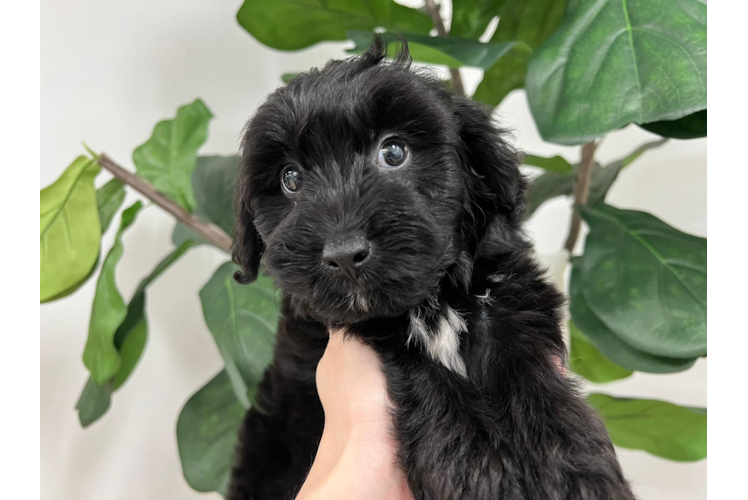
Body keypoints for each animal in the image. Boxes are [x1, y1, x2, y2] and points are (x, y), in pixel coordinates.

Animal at [229, 36, 636, 500]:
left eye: (393, 152)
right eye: (291, 179)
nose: (345, 253)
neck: (433, 299)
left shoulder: (511, 295)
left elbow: (524, 367)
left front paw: (573, 468)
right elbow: (440, 392)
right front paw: (489, 476)